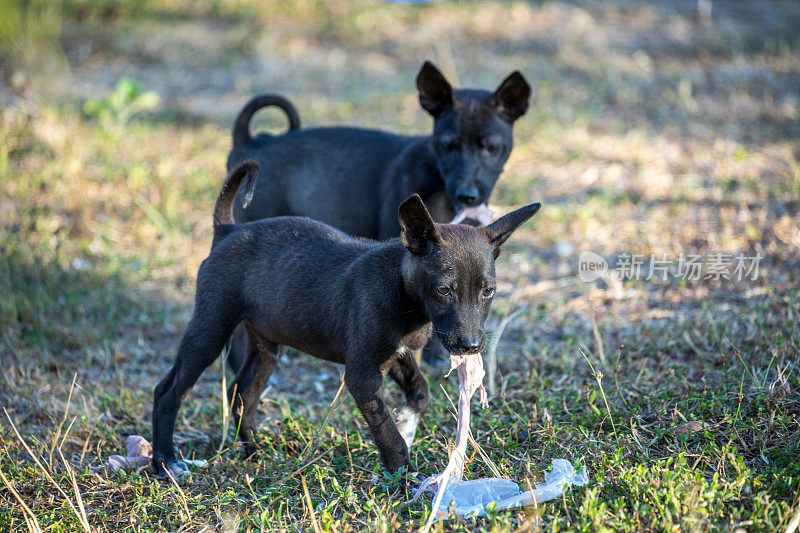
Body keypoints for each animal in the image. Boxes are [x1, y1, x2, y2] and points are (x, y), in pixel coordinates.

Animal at [150, 160, 540, 476]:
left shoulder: (396, 355)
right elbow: (386, 432)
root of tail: (227, 230)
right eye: (444, 290)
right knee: (169, 390)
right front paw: (403, 477)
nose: (471, 345)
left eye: (488, 291)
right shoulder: (362, 374)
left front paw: (407, 426)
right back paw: (165, 462)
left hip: (267, 344)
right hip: (211, 327)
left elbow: (420, 392)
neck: (405, 296)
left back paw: (252, 451)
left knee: (242, 390)